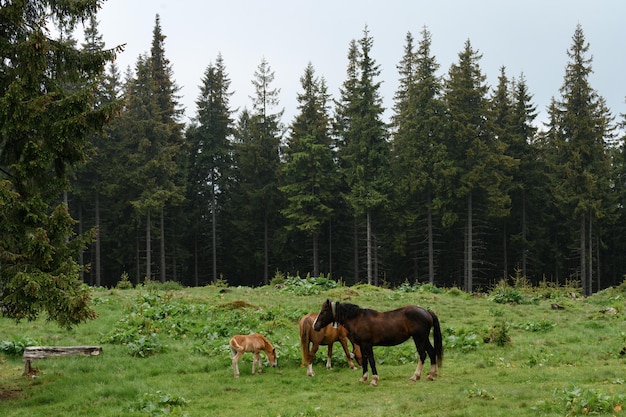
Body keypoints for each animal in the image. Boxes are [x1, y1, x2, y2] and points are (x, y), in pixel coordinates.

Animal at [310, 300, 438, 384]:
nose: (315, 326)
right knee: (432, 352)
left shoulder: (367, 344)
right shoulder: (362, 345)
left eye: (323, 312)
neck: (358, 319)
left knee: (422, 355)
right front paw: (364, 378)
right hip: (424, 339)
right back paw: (431, 375)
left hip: (419, 339)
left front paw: (374, 379)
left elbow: (371, 360)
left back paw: (415, 376)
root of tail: (427, 312)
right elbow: (365, 360)